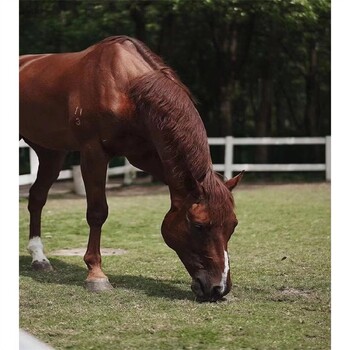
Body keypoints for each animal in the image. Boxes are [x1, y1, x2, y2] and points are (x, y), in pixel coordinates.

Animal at [19, 36, 243, 304]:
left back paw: (39, 258)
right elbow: (97, 212)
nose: (219, 288)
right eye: (199, 225)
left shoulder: (145, 155)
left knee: (37, 197)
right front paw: (96, 274)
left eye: (233, 225)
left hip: (51, 153)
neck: (126, 87)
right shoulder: (93, 152)